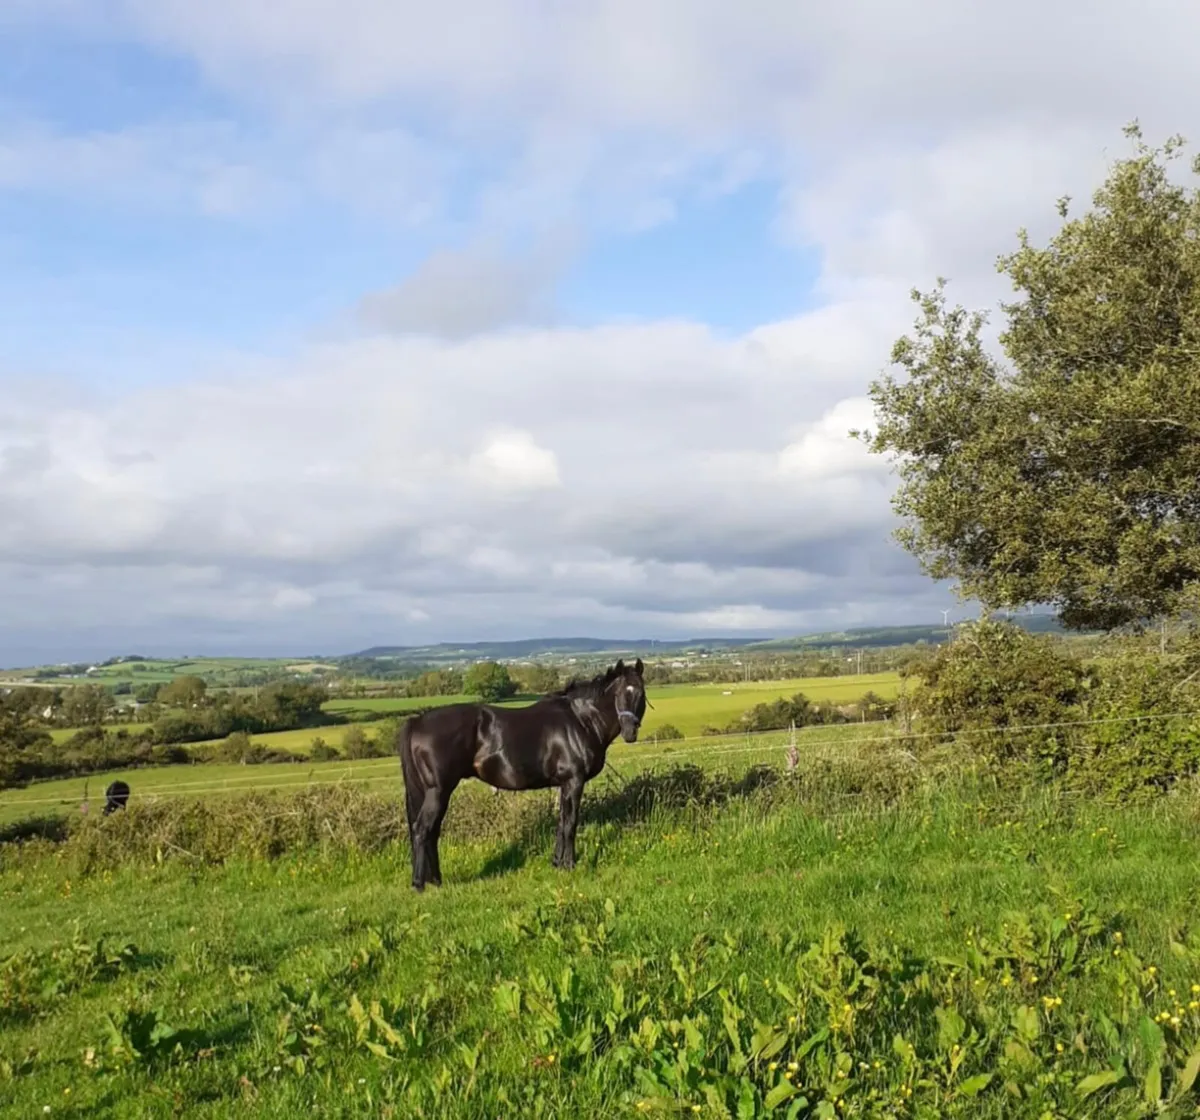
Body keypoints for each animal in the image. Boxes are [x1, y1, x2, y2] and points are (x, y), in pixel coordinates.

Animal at [397, 658, 647, 890]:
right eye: (620, 693)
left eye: (640, 693)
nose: (630, 732)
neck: (581, 721)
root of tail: (417, 721)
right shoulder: (574, 781)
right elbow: (571, 823)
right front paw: (569, 865)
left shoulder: (563, 784)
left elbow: (561, 822)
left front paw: (557, 863)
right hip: (438, 791)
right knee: (422, 830)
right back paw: (419, 884)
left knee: (431, 832)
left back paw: (435, 880)